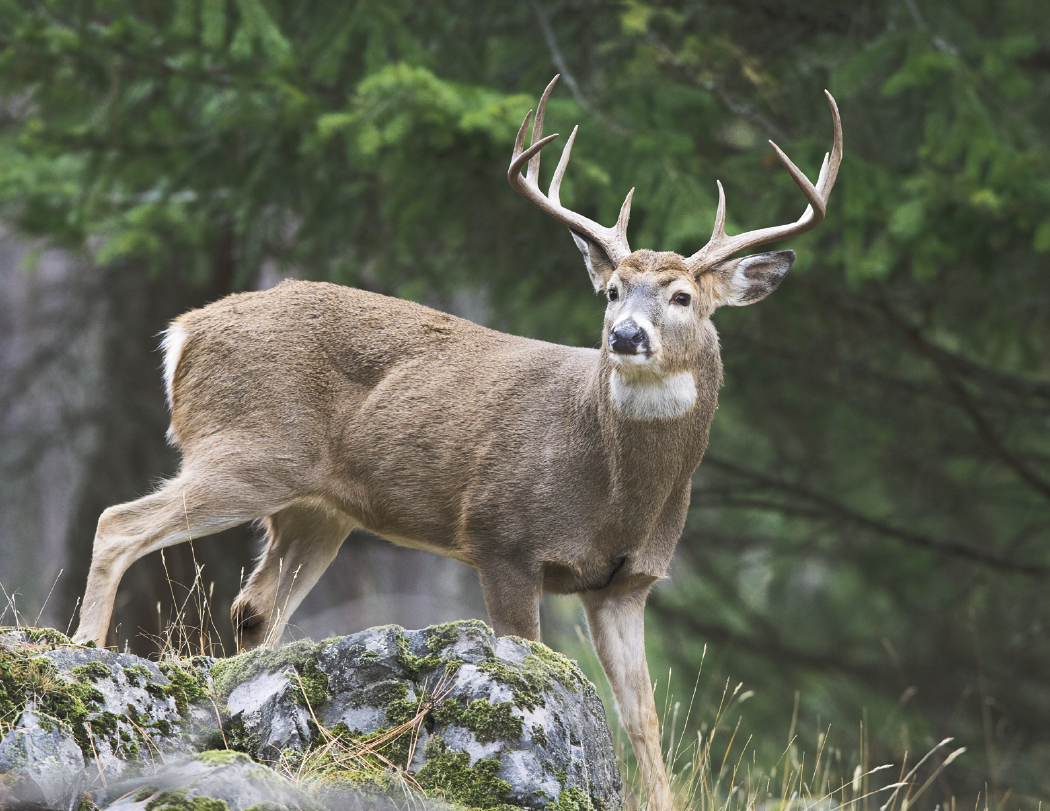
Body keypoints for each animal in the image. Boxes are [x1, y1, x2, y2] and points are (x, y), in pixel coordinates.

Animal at [72, 75, 841, 810]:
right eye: (612, 290)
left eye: (682, 296)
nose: (625, 336)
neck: (618, 491)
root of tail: (184, 332)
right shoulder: (504, 537)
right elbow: (539, 674)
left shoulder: (627, 584)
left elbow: (645, 720)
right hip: (248, 450)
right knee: (117, 522)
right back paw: (83, 654)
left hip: (315, 510)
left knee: (254, 606)